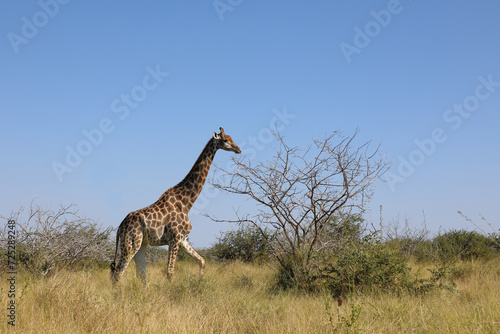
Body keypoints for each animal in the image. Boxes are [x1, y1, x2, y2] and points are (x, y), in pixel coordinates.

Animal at [110, 126, 242, 284]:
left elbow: (202, 261)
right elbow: (170, 272)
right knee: (118, 273)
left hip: (141, 245)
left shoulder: (183, 239)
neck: (186, 202)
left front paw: (200, 281)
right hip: (131, 243)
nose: (239, 149)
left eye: (231, 138)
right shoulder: (174, 238)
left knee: (141, 275)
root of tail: (120, 227)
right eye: (225, 140)